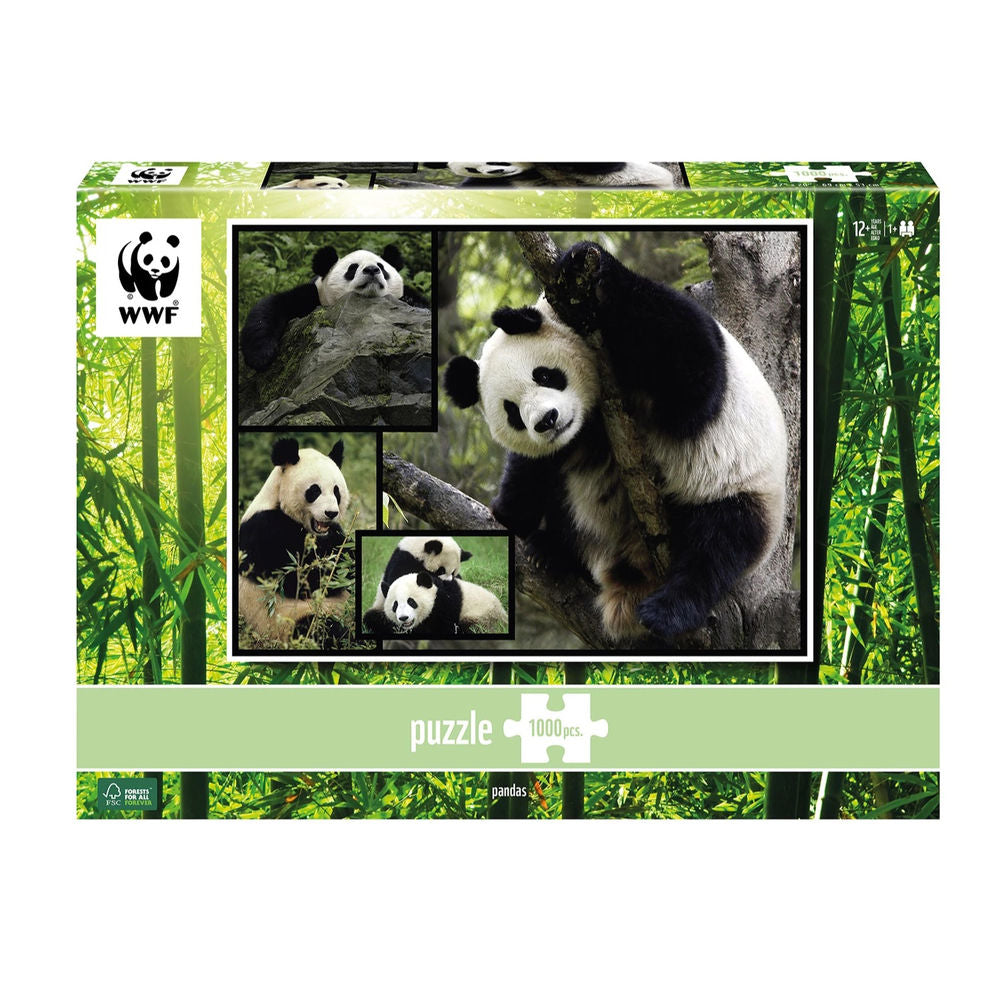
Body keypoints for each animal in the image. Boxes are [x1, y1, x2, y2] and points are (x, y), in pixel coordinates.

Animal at [238, 437, 352, 647]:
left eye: (336, 491)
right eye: (314, 490)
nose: (331, 513)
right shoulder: (263, 531)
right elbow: (300, 578)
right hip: (287, 623)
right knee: (320, 628)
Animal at [240, 243, 429, 372]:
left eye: (381, 267)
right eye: (352, 268)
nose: (372, 270)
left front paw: (413, 302)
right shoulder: (313, 296)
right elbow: (273, 306)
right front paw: (261, 356)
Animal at [363, 571, 507, 638]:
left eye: (411, 601)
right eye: (395, 605)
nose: (404, 618)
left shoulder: (446, 605)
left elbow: (441, 629)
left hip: (484, 617)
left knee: (471, 628)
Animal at [443, 240, 787, 645]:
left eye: (545, 375)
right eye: (511, 411)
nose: (547, 421)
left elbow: (692, 375)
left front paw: (586, 263)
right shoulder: (570, 438)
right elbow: (533, 467)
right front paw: (510, 511)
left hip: (739, 487)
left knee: (719, 544)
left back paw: (667, 610)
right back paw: (553, 551)